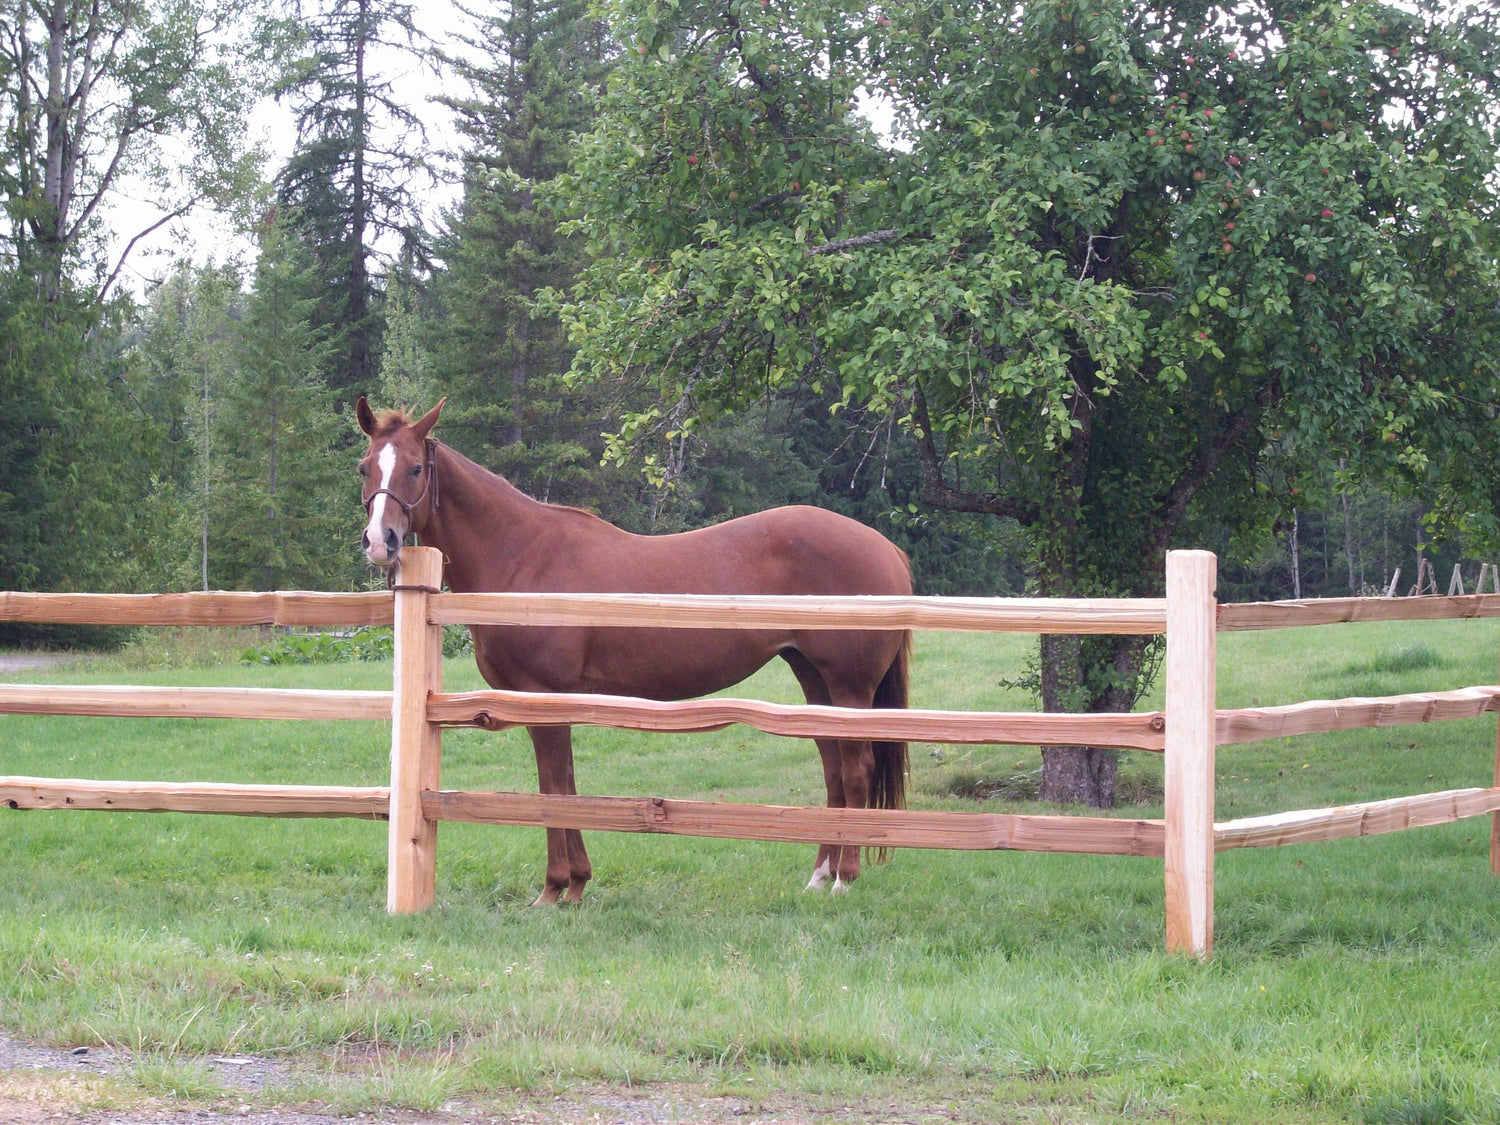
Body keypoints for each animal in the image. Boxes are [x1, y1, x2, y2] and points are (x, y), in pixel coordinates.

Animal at [357, 396, 912, 906]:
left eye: (415, 468)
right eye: (365, 467)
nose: (381, 542)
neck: (523, 557)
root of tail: (886, 547)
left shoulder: (544, 696)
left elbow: (553, 787)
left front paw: (555, 889)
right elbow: (564, 784)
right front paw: (576, 884)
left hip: (848, 684)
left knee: (856, 771)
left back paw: (844, 878)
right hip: (812, 677)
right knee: (834, 769)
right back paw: (819, 875)